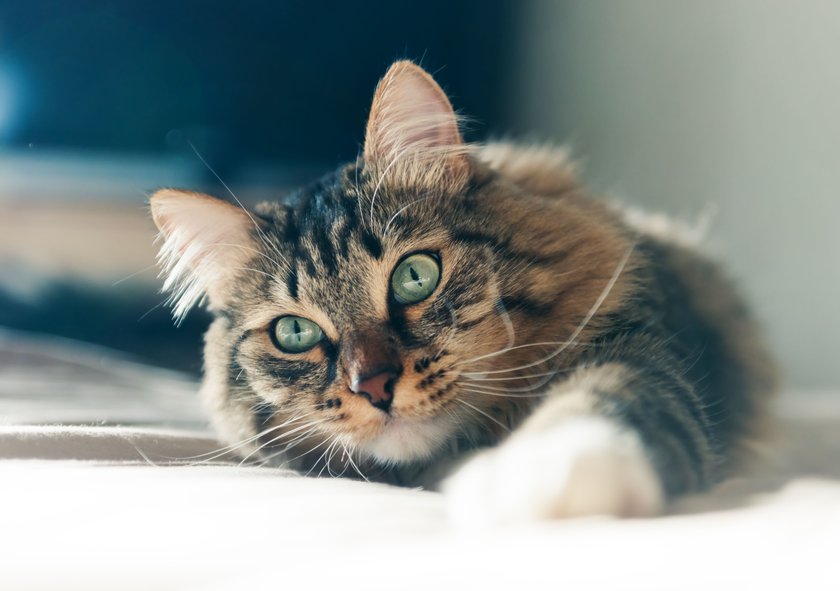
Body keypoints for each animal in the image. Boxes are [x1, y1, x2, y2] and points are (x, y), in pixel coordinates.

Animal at [149, 61, 776, 528]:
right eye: (295, 332)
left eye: (415, 277)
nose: (372, 386)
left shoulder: (643, 345)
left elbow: (604, 401)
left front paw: (540, 479)